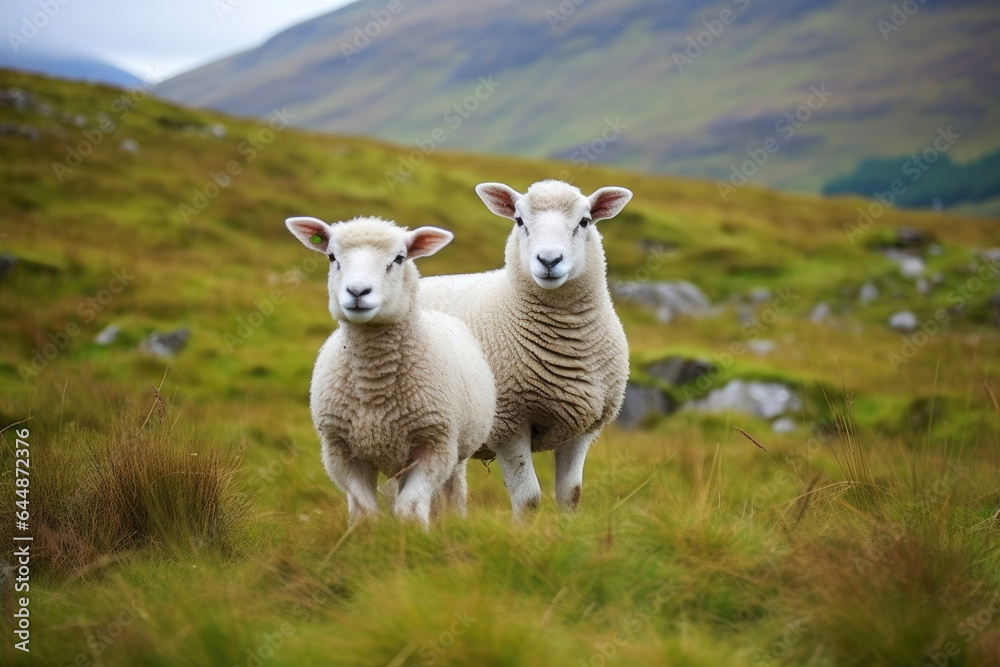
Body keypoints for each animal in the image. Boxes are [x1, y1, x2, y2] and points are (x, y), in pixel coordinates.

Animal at [285, 215, 497, 528]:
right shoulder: (339, 451)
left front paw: (412, 536)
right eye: (332, 257)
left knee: (451, 493)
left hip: (456, 450)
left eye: (399, 258)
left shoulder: (435, 445)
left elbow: (410, 508)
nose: (358, 292)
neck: (374, 381)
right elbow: (364, 511)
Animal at [419, 179, 633, 519]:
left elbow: (571, 495)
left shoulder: (584, 430)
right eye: (519, 221)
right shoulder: (508, 425)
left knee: (448, 494)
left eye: (585, 221)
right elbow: (529, 499)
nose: (549, 260)